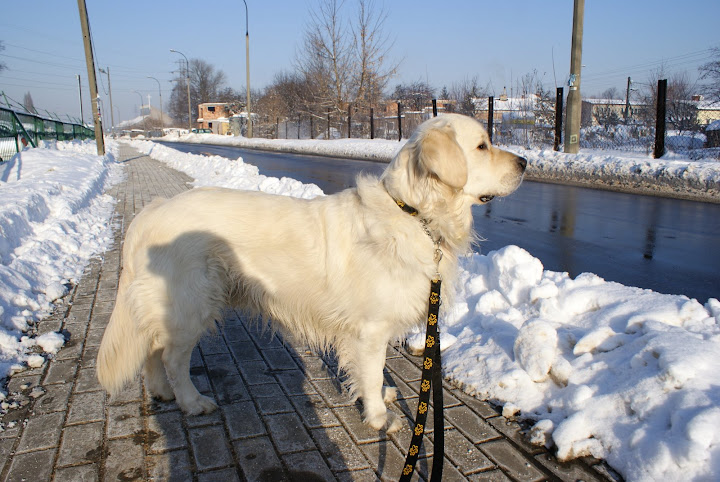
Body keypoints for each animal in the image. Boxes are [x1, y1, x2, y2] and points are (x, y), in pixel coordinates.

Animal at [97, 113, 526, 432]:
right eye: (482, 146)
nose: (525, 163)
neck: (415, 214)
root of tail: (151, 211)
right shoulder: (370, 328)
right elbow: (372, 372)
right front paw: (378, 416)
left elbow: (371, 371)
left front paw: (379, 397)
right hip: (193, 304)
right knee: (171, 357)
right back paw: (191, 402)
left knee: (153, 350)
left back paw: (162, 393)